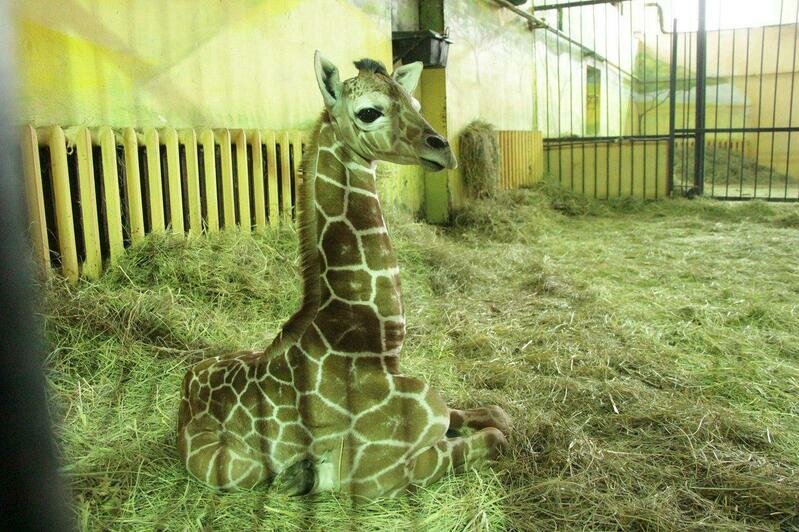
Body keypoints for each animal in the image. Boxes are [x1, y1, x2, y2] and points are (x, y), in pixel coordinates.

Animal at [177, 52, 510, 496]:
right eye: (369, 112)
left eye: (416, 104)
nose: (442, 150)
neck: (374, 345)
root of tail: (185, 386)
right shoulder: (384, 473)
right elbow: (496, 437)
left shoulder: (439, 415)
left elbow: (494, 414)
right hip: (232, 468)